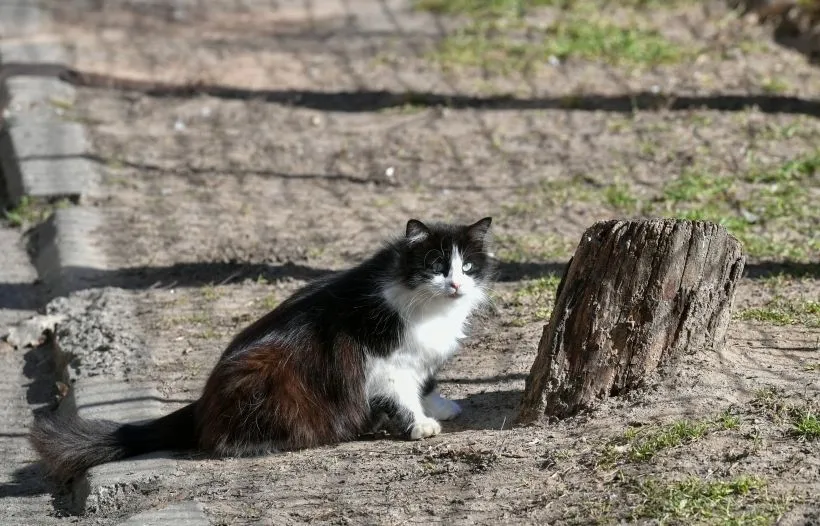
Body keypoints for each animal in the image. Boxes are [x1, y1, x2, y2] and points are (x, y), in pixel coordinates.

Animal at [30, 216, 494, 482]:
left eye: (468, 267)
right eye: (435, 266)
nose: (456, 284)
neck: (430, 309)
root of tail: (199, 405)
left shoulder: (423, 355)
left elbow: (426, 380)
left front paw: (440, 406)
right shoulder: (383, 362)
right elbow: (401, 394)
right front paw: (420, 425)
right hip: (263, 377)